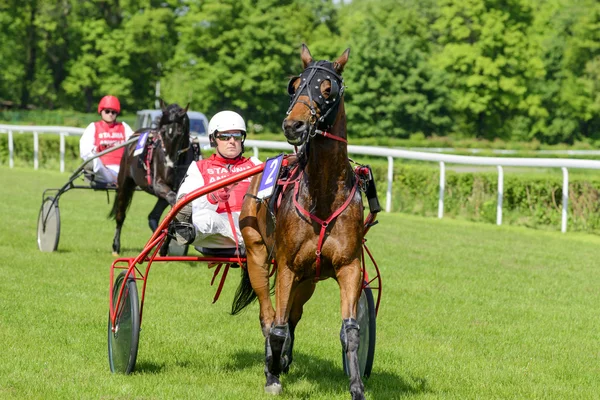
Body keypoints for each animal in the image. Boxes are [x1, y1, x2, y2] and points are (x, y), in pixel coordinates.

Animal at [109, 100, 191, 256]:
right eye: (163, 132)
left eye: (179, 131)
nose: (168, 164)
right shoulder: (159, 185)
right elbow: (174, 204)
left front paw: (165, 247)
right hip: (125, 183)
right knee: (120, 214)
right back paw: (116, 247)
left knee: (153, 216)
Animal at [234, 45, 366, 398]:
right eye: (295, 86)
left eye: (327, 89)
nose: (294, 126)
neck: (322, 194)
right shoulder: (287, 266)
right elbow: (277, 327)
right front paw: (273, 374)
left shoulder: (348, 265)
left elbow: (350, 330)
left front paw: (357, 387)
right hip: (258, 255)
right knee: (269, 316)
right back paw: (273, 364)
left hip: (308, 278)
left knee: (293, 315)